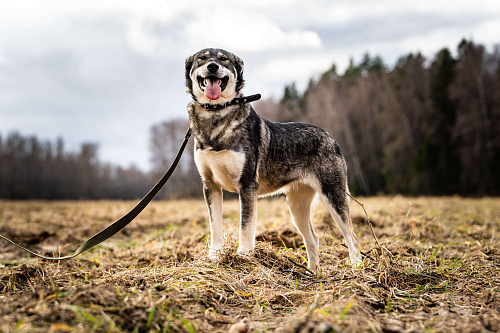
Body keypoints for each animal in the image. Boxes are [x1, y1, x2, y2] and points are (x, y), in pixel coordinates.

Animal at [186, 47, 362, 270]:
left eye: (223, 59)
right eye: (202, 58)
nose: (212, 66)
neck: (216, 116)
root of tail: (330, 137)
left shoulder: (247, 185)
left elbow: (246, 226)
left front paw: (243, 257)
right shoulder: (211, 186)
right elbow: (215, 226)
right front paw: (215, 258)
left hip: (333, 196)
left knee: (351, 237)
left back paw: (356, 270)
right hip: (297, 206)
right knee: (313, 238)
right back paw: (313, 273)